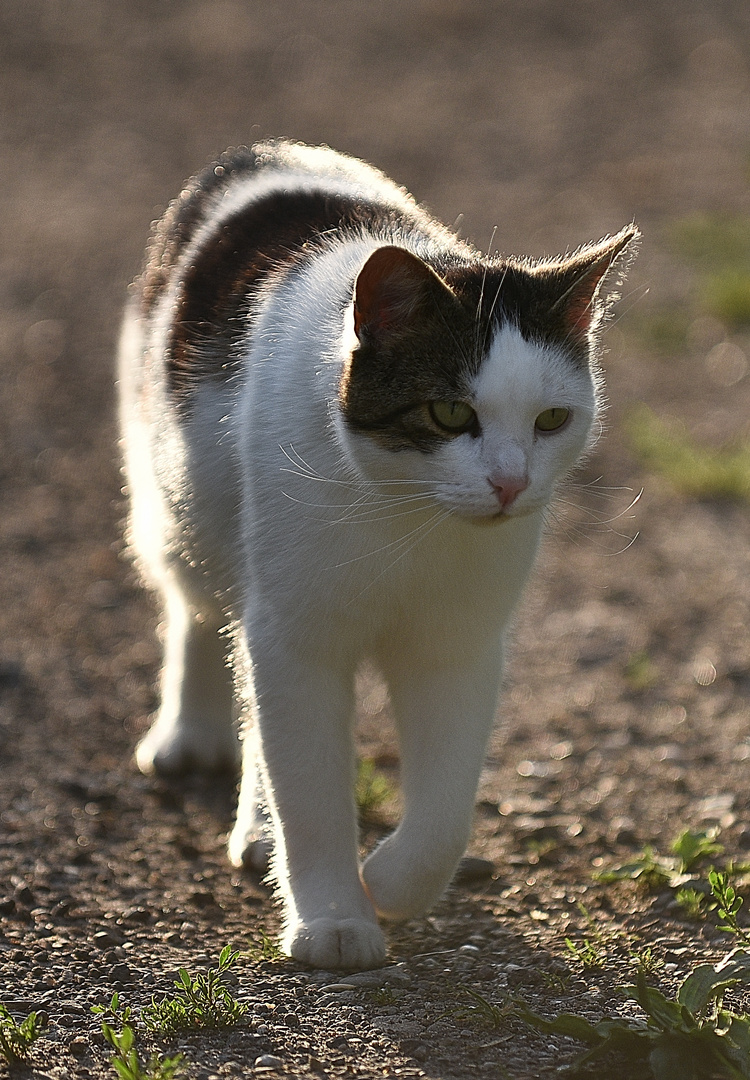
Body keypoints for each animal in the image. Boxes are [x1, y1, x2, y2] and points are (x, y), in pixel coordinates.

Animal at [118, 137, 639, 972]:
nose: (510, 483)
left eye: (552, 420)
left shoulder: (457, 645)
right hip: (177, 502)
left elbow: (445, 811)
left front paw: (391, 883)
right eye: (450, 412)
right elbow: (312, 791)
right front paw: (334, 920)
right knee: (198, 608)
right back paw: (192, 737)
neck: (408, 517)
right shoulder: (295, 638)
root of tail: (268, 148)